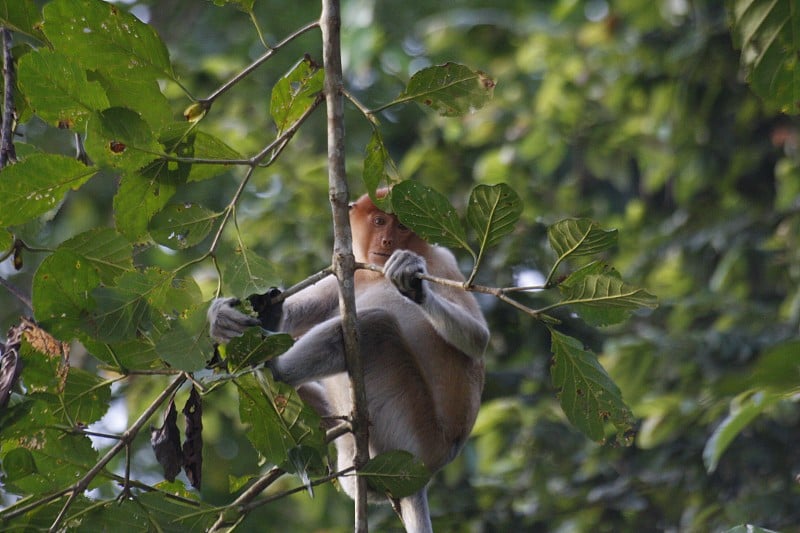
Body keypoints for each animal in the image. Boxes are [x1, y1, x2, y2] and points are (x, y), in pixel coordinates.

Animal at [208, 189, 488, 528]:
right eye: (379, 221)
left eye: (402, 226)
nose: (387, 241)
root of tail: (433, 464)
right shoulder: (352, 271)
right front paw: (222, 318)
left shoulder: (442, 262)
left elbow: (477, 339)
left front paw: (410, 279)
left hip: (408, 425)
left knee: (376, 326)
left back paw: (272, 368)